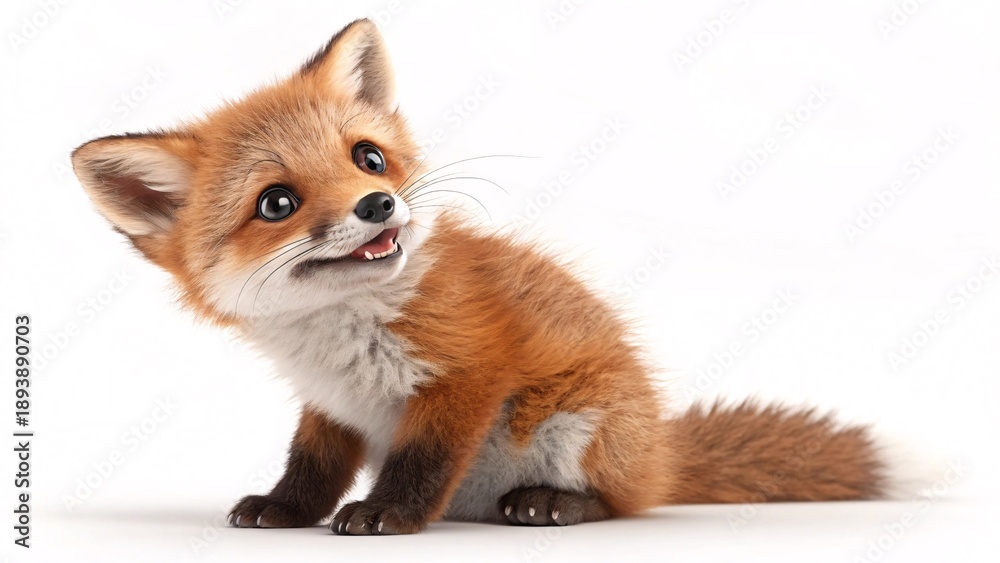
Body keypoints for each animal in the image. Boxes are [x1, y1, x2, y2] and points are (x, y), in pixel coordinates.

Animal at [71, 19, 885, 535]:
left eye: (367, 157)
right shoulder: (328, 404)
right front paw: (288, 508)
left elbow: (421, 461)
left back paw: (555, 505)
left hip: (577, 423)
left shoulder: (465, 371)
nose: (378, 204)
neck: (341, 333)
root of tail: (661, 449)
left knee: (626, 502)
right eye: (277, 202)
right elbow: (312, 466)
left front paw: (390, 515)